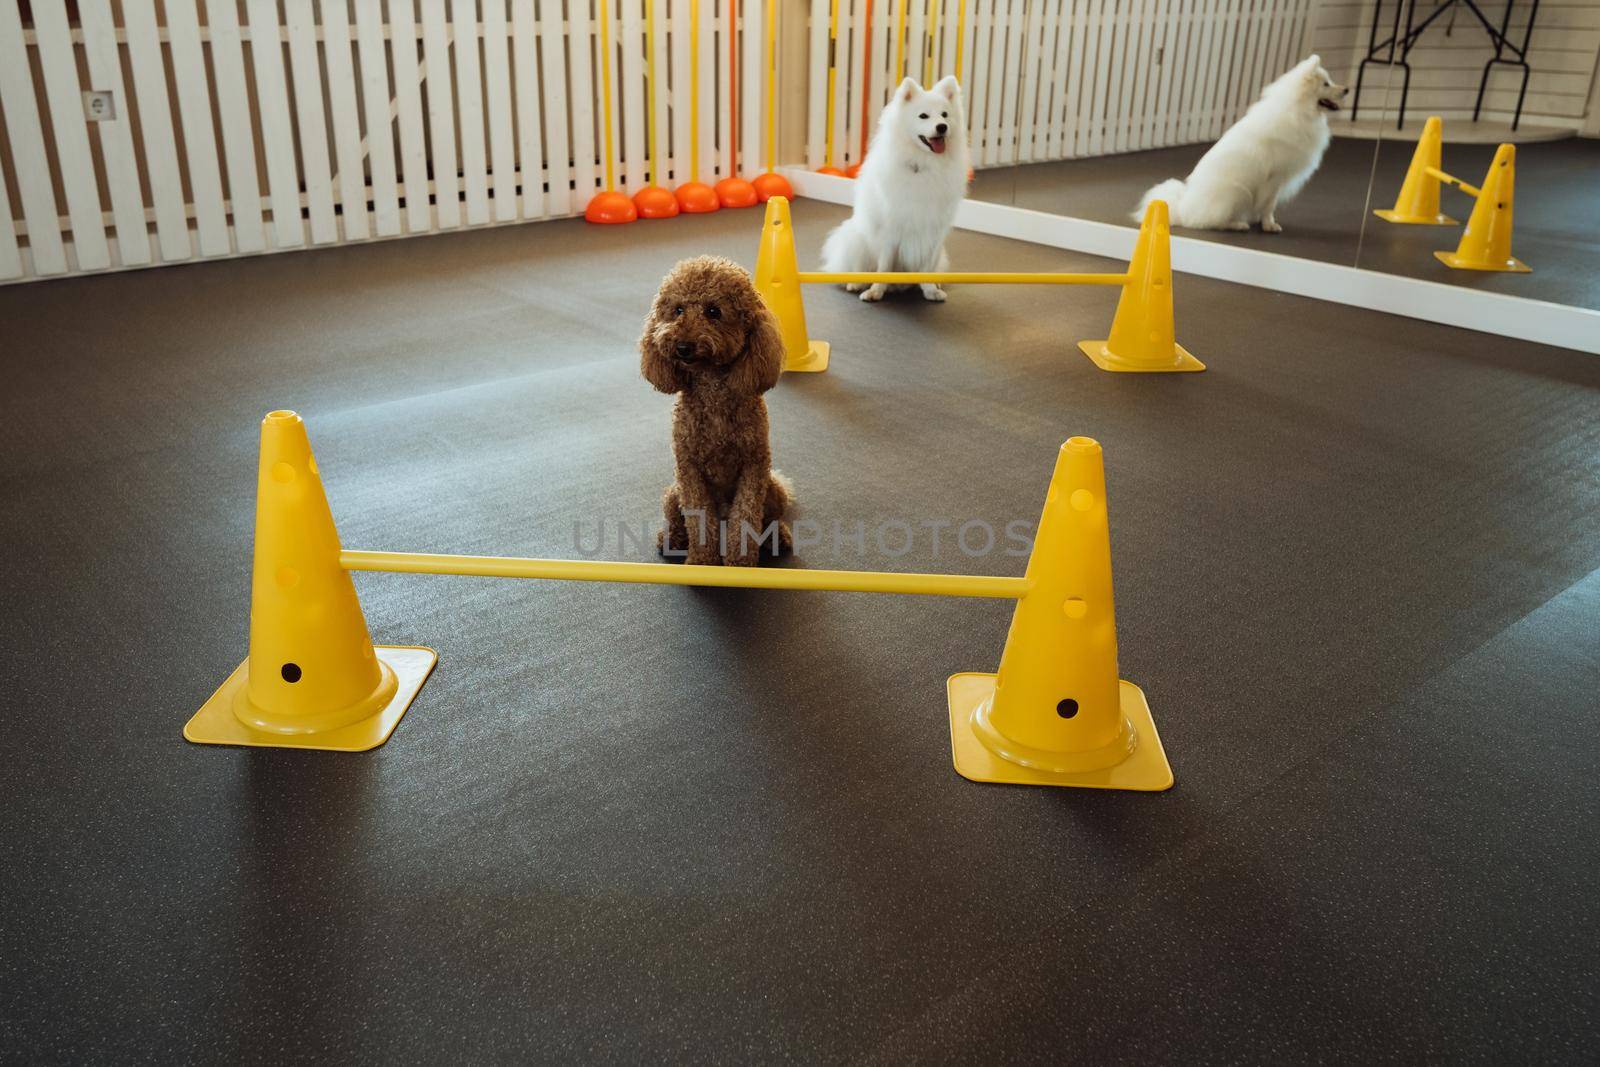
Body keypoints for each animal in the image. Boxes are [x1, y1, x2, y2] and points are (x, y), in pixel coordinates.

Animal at [819, 75, 966, 302]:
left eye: (945, 115)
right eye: (923, 116)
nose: (942, 127)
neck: (924, 165)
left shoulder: (935, 229)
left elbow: (927, 266)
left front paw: (930, 290)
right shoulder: (891, 228)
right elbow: (885, 266)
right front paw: (876, 291)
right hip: (856, 240)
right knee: (857, 269)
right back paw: (856, 283)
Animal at [1139, 56, 1350, 231]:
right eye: (1326, 84)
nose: (1347, 89)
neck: (1298, 111)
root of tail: (1183, 211)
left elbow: (1265, 205)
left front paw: (1261, 220)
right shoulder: (1275, 177)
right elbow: (1269, 204)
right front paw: (1269, 225)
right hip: (1238, 191)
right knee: (1214, 222)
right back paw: (1238, 224)